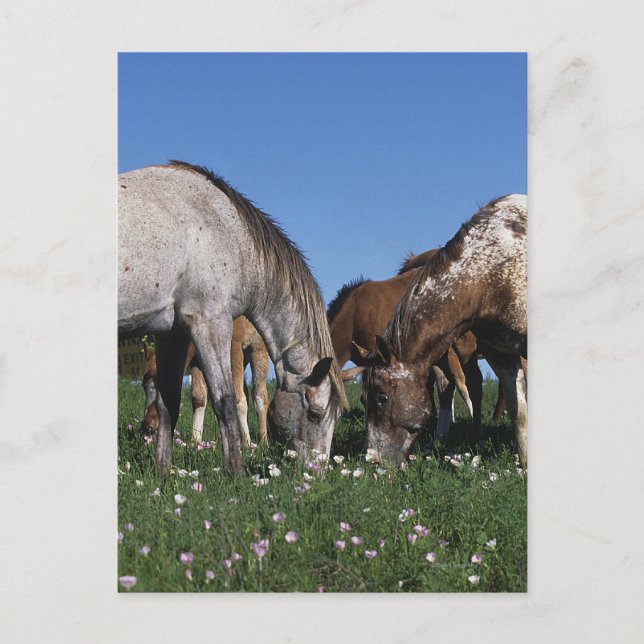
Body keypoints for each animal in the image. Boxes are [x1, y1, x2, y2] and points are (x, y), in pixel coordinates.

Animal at [141, 316, 270, 447]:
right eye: (143, 386)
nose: (146, 426)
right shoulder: (198, 359)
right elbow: (199, 396)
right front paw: (196, 441)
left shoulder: (234, 345)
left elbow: (239, 399)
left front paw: (247, 444)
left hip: (257, 347)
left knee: (259, 395)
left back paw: (263, 441)